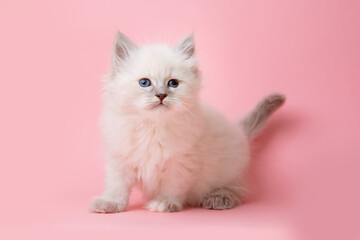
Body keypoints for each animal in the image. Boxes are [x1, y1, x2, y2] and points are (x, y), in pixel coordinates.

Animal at [89, 31, 284, 212]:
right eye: (144, 83)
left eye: (173, 83)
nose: (161, 95)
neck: (153, 126)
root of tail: (239, 131)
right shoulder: (119, 159)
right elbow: (117, 186)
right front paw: (110, 203)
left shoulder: (181, 162)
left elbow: (172, 186)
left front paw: (165, 203)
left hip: (229, 170)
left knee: (238, 190)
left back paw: (218, 198)